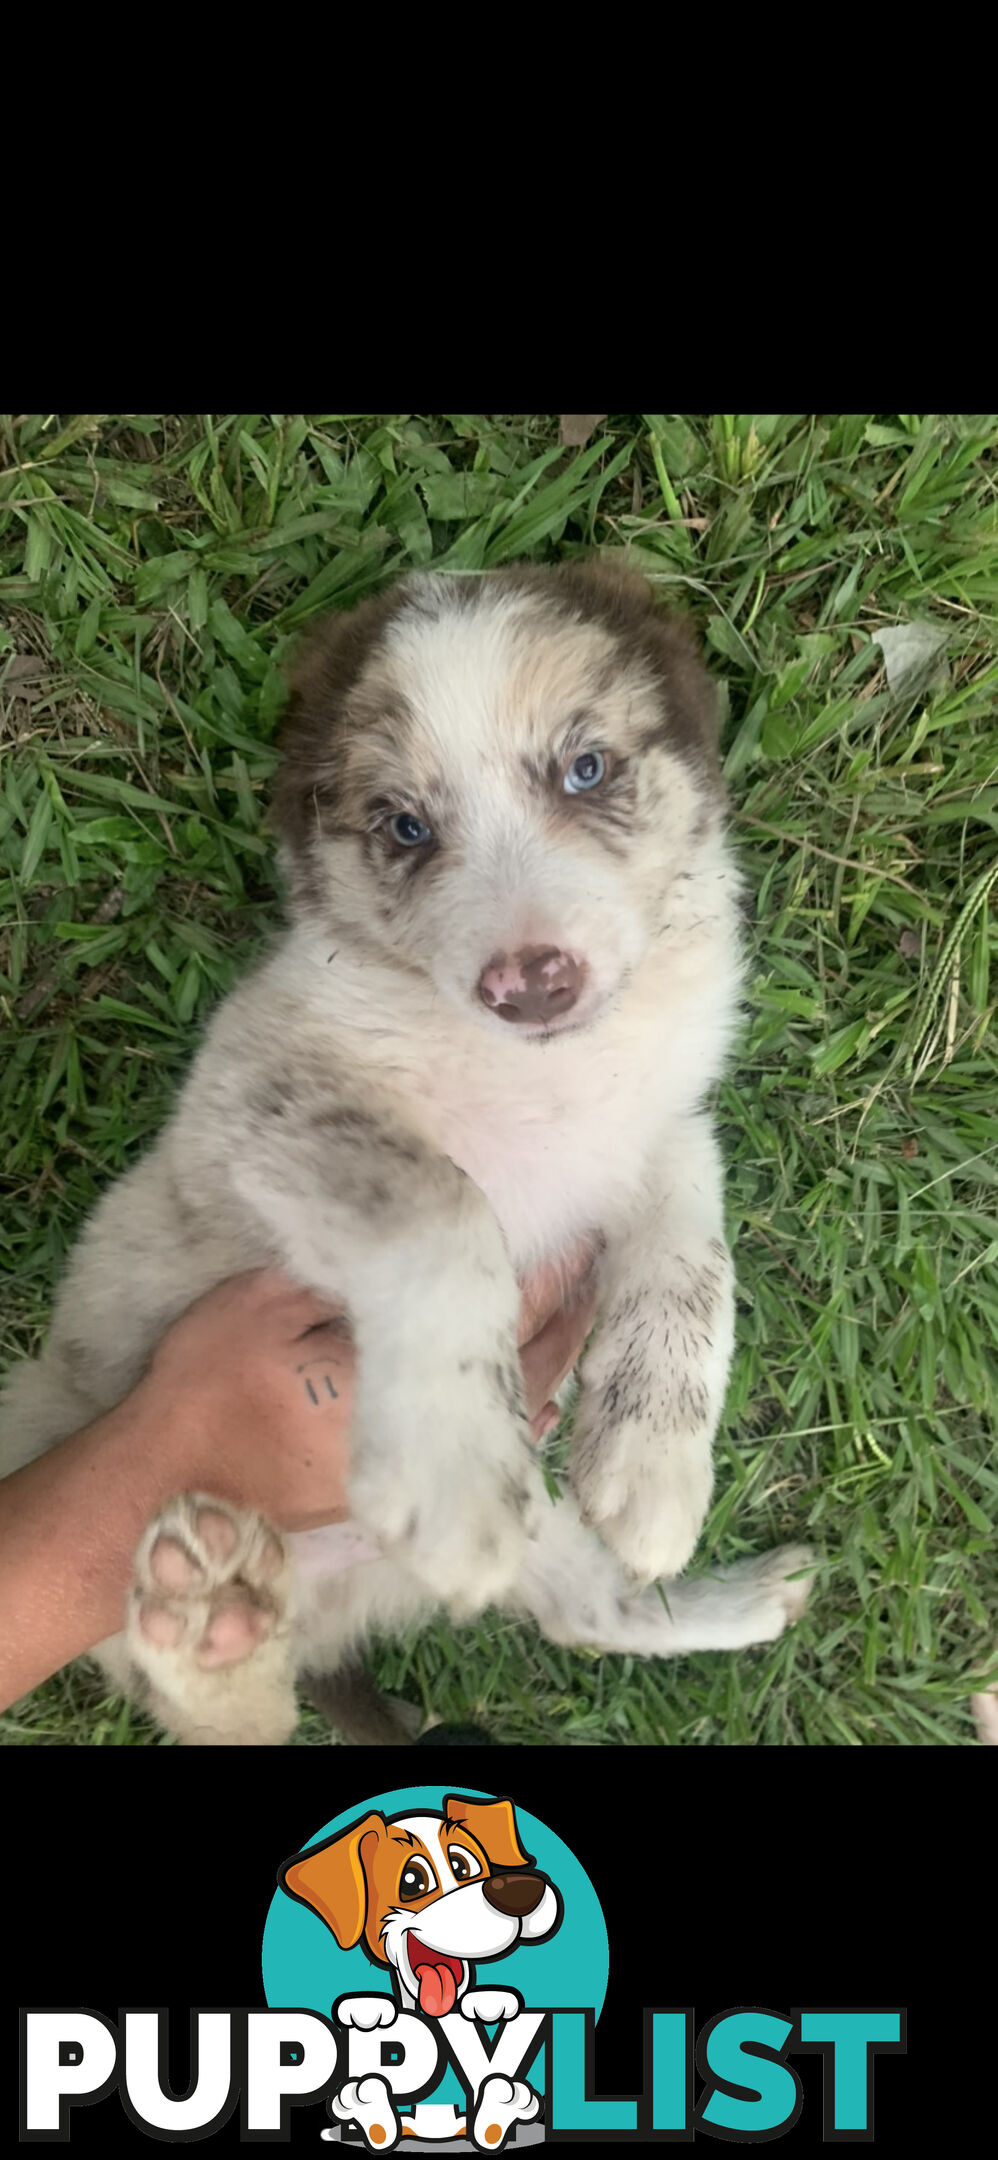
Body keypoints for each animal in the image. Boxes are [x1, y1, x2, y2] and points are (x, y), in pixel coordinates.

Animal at [0, 552, 812, 1736]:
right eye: (404, 828)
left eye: (585, 769)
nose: (531, 983)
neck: (540, 1076)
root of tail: (333, 1610)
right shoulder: (267, 1102)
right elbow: (441, 1210)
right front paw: (454, 1470)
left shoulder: (656, 1125)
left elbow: (692, 1257)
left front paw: (652, 1464)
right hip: (51, 1442)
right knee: (217, 1714)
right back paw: (206, 1628)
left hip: (539, 1540)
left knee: (583, 1614)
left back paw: (737, 1603)